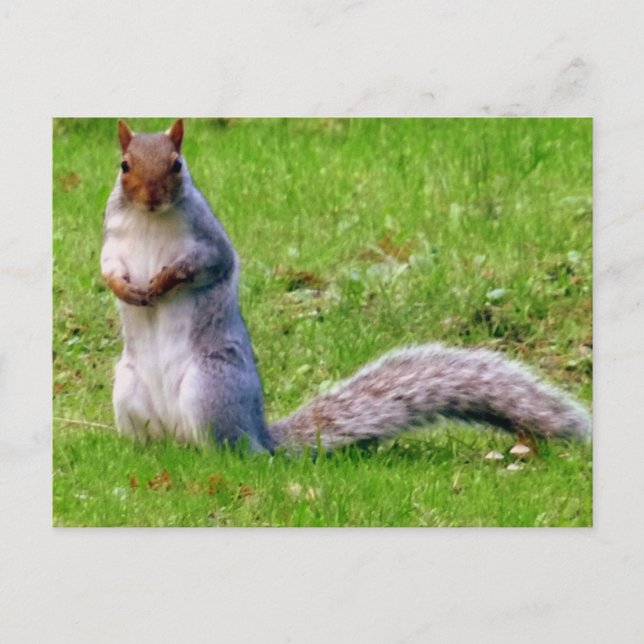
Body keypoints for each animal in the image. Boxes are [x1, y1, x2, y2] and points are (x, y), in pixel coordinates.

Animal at [101, 119, 591, 452]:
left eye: (177, 165)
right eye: (124, 166)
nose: (152, 198)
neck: (150, 220)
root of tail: (260, 437)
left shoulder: (208, 241)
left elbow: (206, 265)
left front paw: (163, 282)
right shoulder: (113, 240)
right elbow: (107, 269)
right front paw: (127, 290)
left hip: (208, 389)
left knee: (223, 450)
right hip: (127, 391)